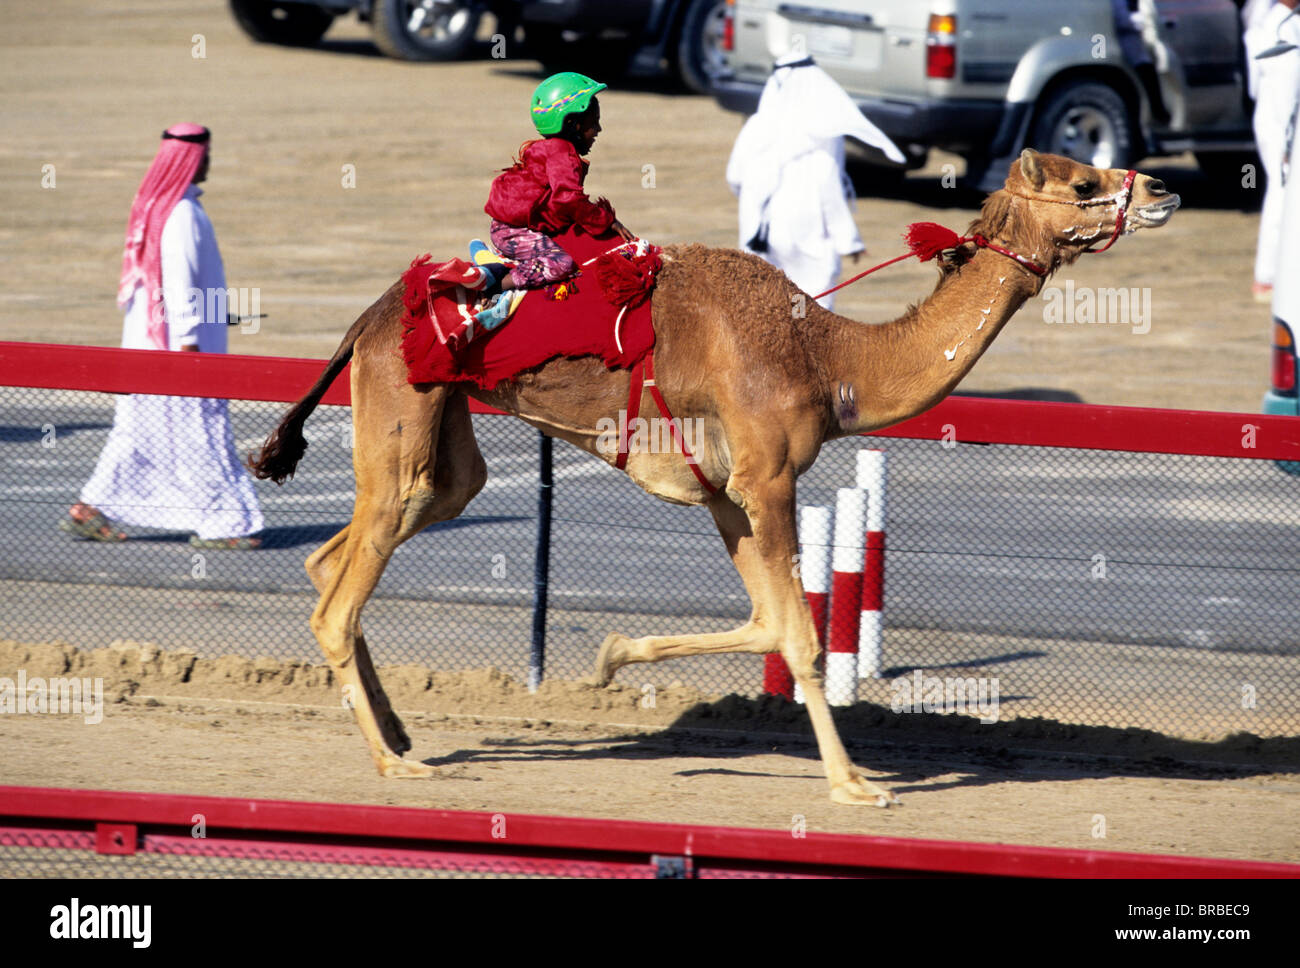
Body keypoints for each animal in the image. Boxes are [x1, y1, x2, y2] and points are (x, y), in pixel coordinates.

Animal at [250, 149, 1180, 800]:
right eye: (1086, 180)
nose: (1163, 190)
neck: (830, 358)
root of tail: (367, 321)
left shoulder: (731, 492)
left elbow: (767, 621)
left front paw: (611, 659)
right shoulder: (768, 477)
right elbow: (800, 635)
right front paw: (854, 786)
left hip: (442, 438)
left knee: (348, 549)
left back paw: (403, 734)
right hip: (403, 406)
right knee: (340, 599)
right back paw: (396, 765)